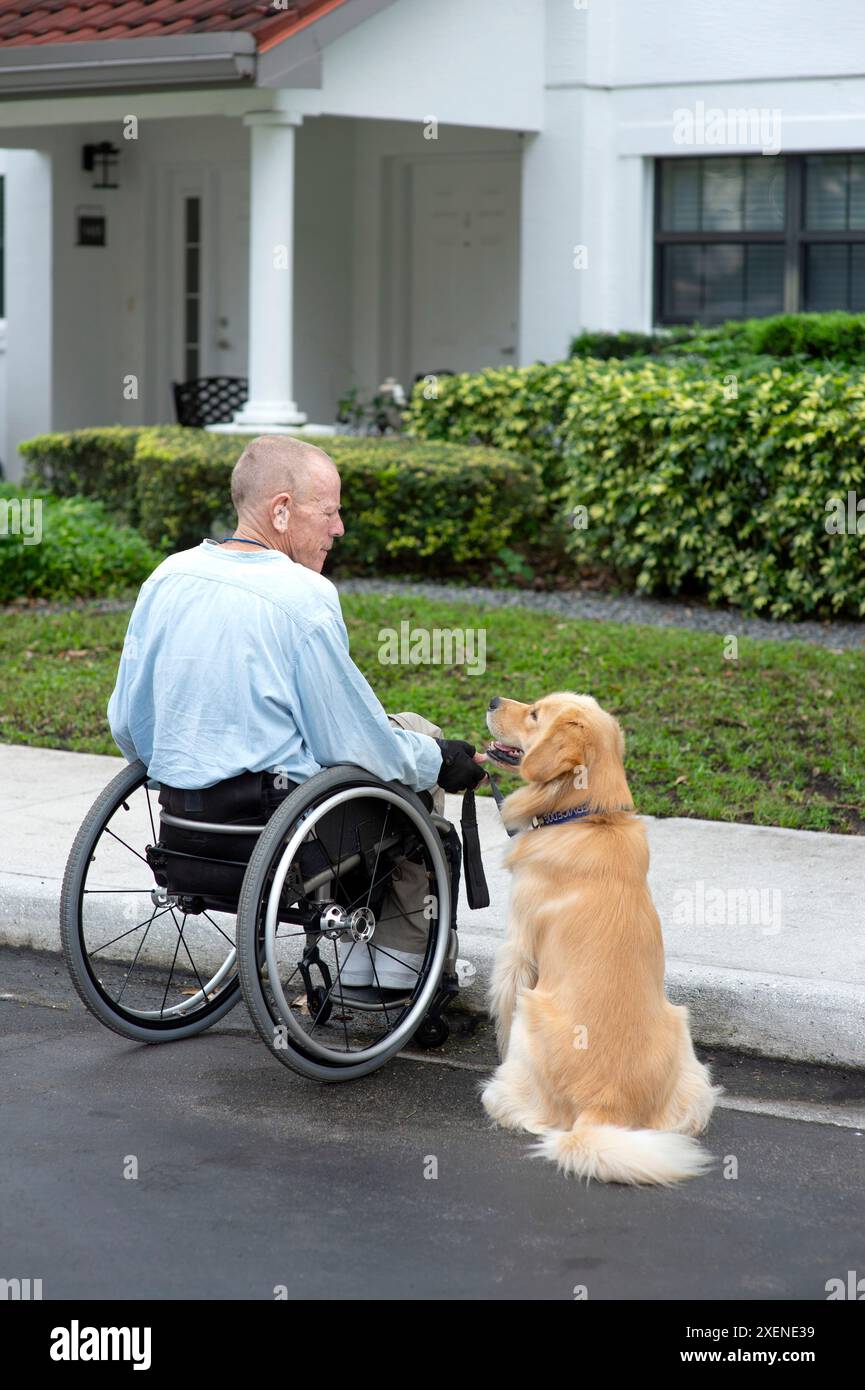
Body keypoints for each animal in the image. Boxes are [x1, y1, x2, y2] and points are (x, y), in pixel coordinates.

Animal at [483, 695, 723, 1184]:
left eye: (534, 714)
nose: (494, 700)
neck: (590, 816)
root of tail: (603, 1108)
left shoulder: (517, 950)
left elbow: (501, 1004)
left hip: (532, 1011)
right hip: (684, 1040)